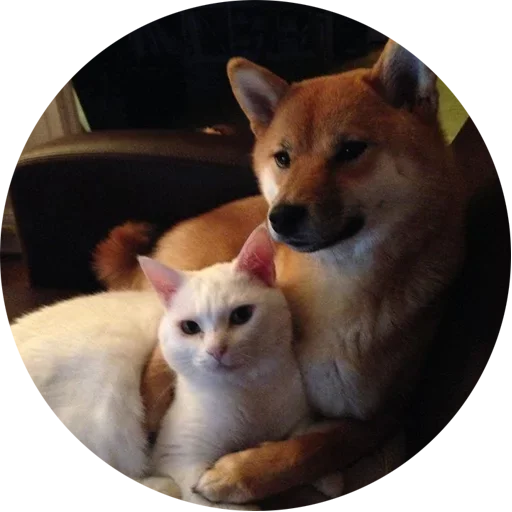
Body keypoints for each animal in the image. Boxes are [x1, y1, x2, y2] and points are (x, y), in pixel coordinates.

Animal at [141, 224, 344, 509]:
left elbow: (306, 440)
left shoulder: (297, 415)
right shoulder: (178, 456)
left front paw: (327, 474)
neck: (247, 391)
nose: (216, 350)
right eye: (190, 327)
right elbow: (212, 501)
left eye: (241, 315)